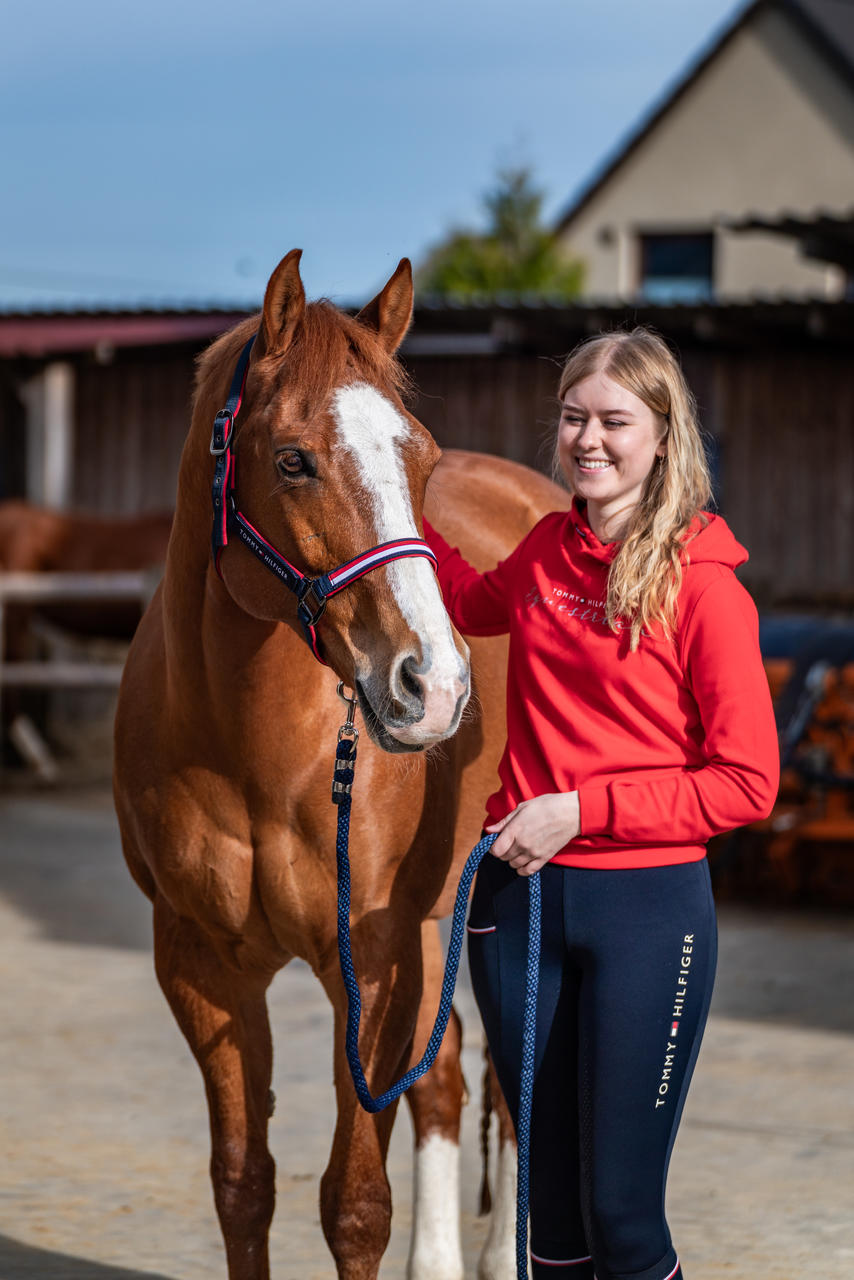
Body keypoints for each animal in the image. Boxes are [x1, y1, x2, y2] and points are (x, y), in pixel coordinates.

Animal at [112, 252, 568, 1280]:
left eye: (422, 458)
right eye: (293, 459)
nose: (434, 686)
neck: (256, 753)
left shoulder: (375, 959)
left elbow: (356, 1205)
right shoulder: (202, 966)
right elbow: (244, 1186)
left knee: (507, 1083)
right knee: (446, 1081)